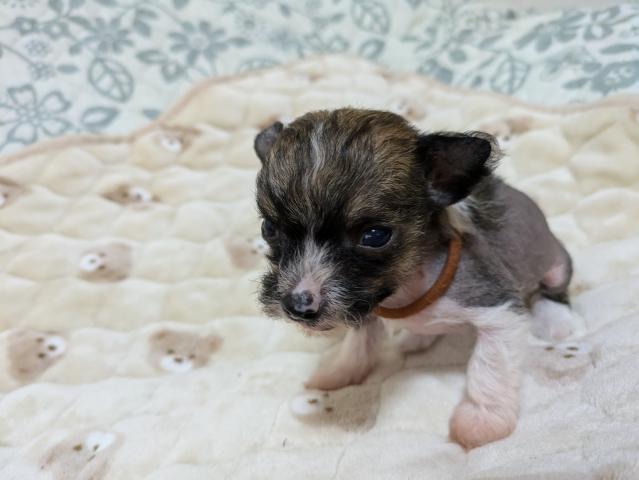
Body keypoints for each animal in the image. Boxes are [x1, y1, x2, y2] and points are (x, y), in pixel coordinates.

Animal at [253, 108, 577, 449]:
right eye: (268, 228)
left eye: (374, 235)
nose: (297, 305)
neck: (405, 286)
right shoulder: (363, 305)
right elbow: (357, 348)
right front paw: (337, 373)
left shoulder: (498, 312)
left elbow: (489, 368)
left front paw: (482, 420)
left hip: (556, 263)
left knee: (554, 290)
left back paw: (556, 320)